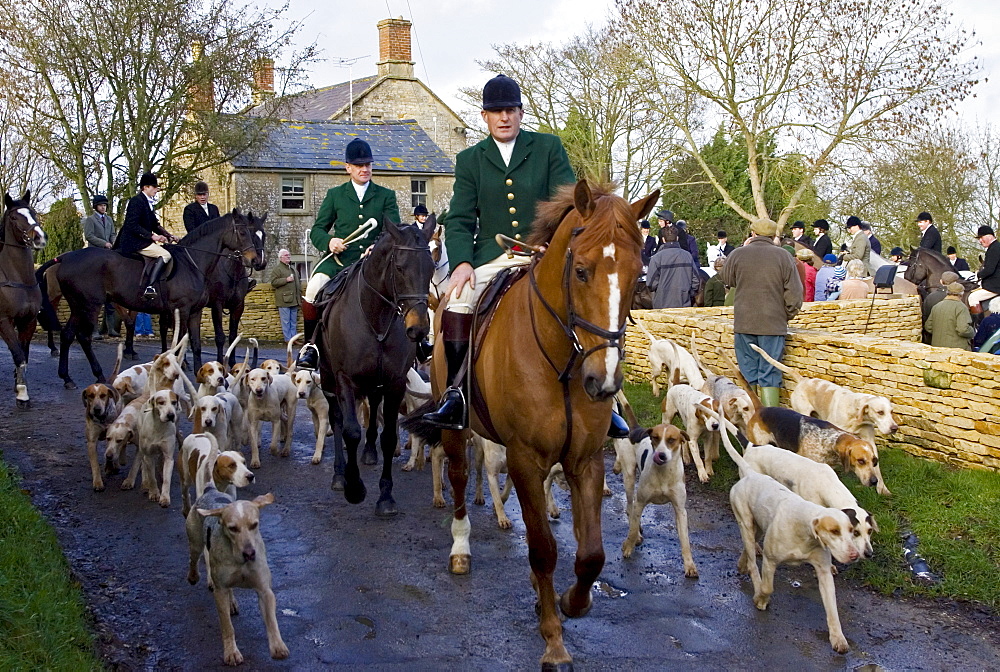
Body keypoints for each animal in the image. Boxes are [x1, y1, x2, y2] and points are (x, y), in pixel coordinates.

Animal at [48, 210, 260, 388]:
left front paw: (199, 374)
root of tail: (65, 258)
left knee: (67, 335)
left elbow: (196, 344)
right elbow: (179, 345)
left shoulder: (195, 311)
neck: (193, 263)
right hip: (90, 305)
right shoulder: (182, 310)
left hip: (78, 306)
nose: (256, 260)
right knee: (84, 337)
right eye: (243, 233)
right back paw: (99, 375)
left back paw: (67, 378)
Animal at [316, 218, 434, 516]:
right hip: (328, 378)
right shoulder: (344, 379)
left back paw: (369, 453)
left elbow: (389, 436)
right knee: (337, 418)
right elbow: (350, 431)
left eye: (430, 267)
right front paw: (354, 488)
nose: (418, 329)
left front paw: (386, 496)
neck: (376, 318)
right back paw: (339, 474)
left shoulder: (395, 382)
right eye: (400, 267)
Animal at [422, 181, 656, 668]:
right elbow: (544, 549)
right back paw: (460, 547)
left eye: (637, 276)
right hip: (456, 430)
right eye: (581, 271)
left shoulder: (585, 460)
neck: (563, 363)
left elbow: (590, 555)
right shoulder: (526, 460)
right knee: (458, 478)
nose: (603, 381)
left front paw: (572, 601)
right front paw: (553, 639)